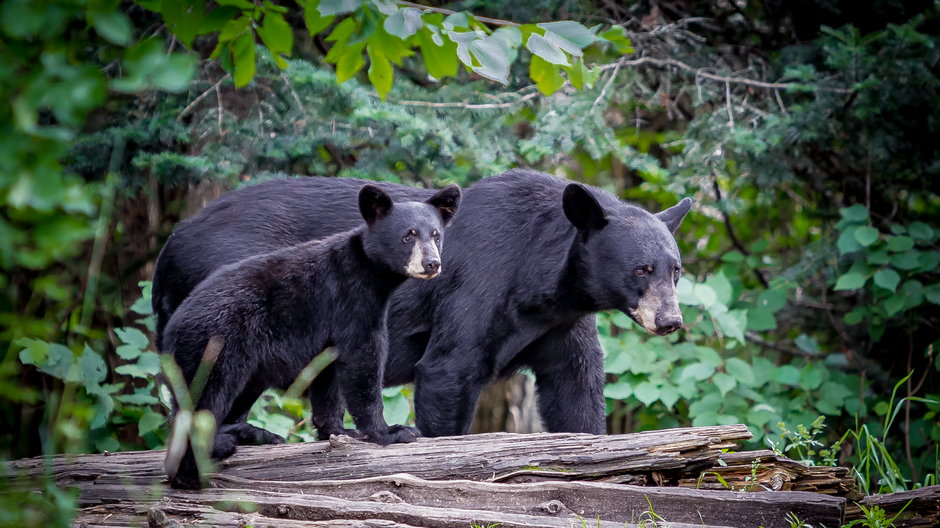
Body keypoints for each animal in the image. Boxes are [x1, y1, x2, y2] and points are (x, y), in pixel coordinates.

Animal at [154, 168, 692, 438]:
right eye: (641, 269)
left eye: (675, 269)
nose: (671, 320)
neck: (539, 279)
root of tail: (169, 245)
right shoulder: (479, 285)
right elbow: (447, 371)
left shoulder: (560, 321)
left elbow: (575, 387)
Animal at [162, 184, 462, 488]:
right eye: (407, 236)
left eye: (436, 235)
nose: (432, 263)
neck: (369, 272)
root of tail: (171, 326)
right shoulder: (351, 300)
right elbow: (363, 360)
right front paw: (391, 431)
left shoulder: (328, 328)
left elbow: (327, 375)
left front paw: (339, 431)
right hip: (213, 344)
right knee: (203, 401)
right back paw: (194, 471)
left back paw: (247, 435)